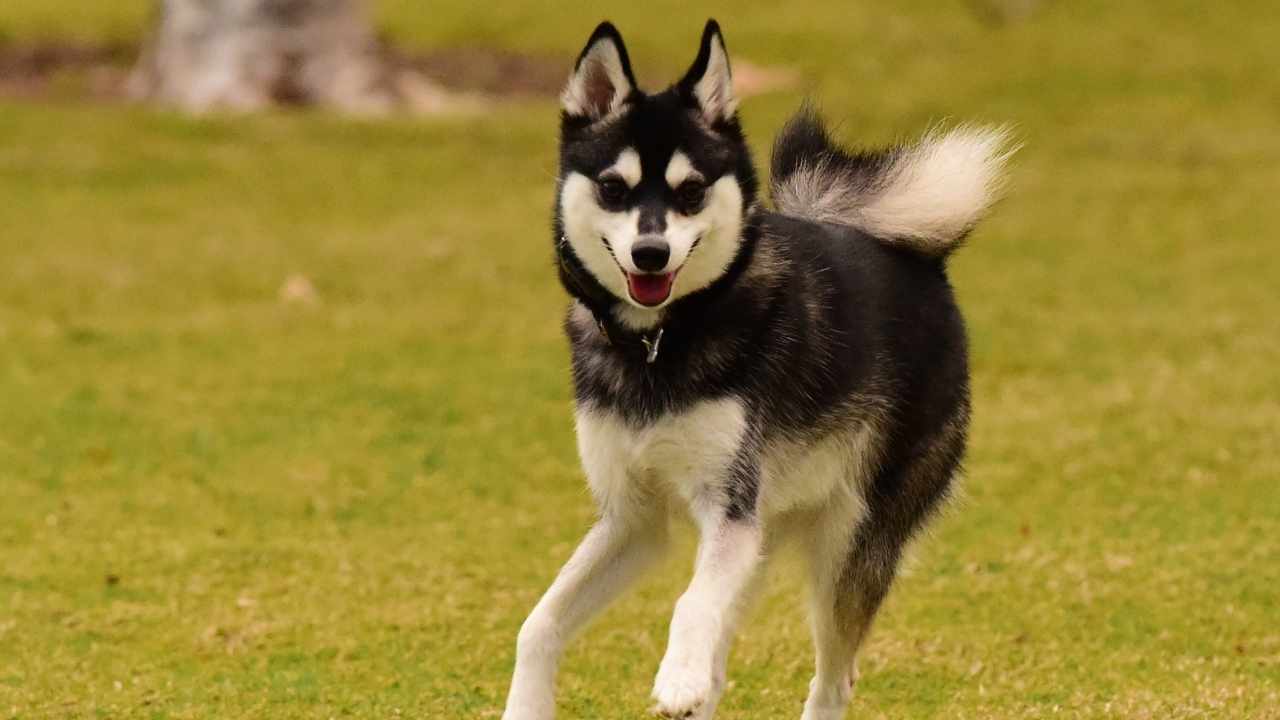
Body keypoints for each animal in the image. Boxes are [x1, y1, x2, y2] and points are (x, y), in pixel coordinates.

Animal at [499, 18, 1008, 717]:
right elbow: (538, 623)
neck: (660, 345)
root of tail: (917, 258)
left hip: (847, 547)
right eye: (612, 188)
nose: (651, 253)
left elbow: (689, 605)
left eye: (690, 192)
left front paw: (676, 678)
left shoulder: (729, 513)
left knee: (833, 677)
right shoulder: (634, 520)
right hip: (766, 535)